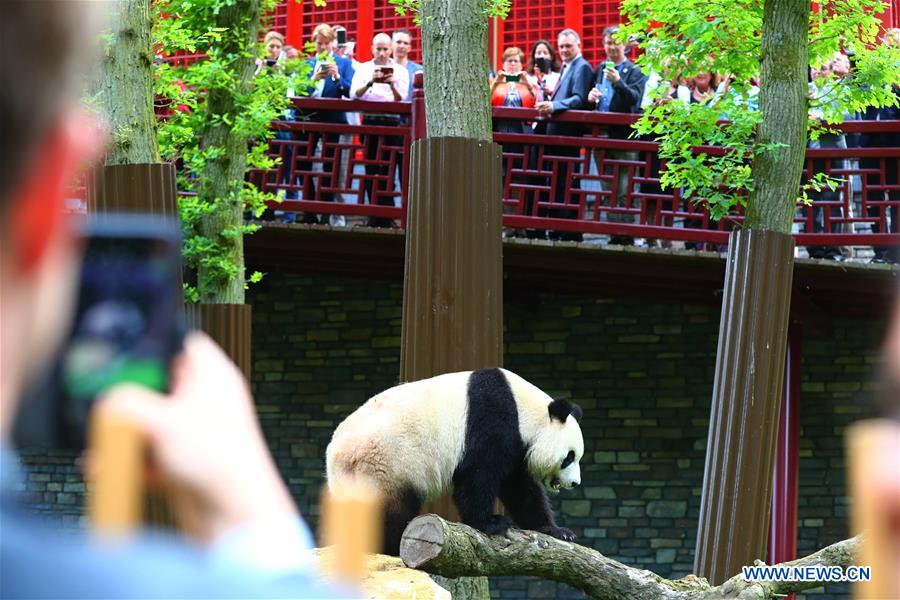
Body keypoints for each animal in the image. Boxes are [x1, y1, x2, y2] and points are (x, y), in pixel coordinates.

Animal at [324, 368, 584, 556]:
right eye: (569, 456)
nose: (575, 484)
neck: (524, 410)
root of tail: (340, 454)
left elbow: (520, 489)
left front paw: (559, 532)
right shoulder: (492, 420)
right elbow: (477, 477)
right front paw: (492, 523)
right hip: (389, 464)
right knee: (390, 510)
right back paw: (389, 547)